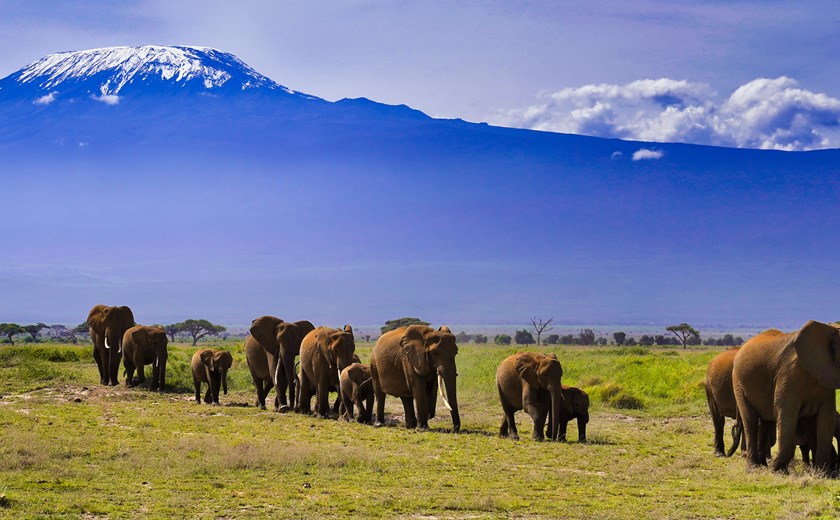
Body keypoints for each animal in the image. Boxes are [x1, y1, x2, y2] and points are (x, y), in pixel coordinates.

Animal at [733, 321, 840, 472]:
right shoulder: (789, 375)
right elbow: (786, 412)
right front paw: (776, 470)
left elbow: (827, 417)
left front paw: (822, 472)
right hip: (738, 383)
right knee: (750, 420)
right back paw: (754, 468)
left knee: (765, 423)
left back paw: (763, 465)